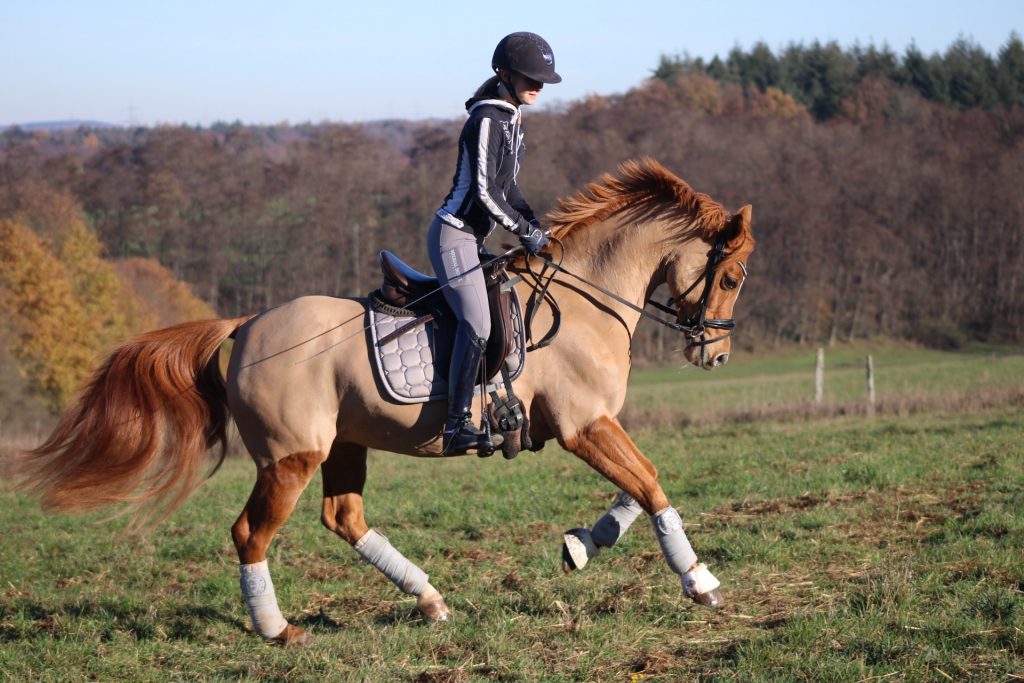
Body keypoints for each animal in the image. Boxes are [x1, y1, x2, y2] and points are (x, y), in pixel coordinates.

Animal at [16, 158, 753, 647]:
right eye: (733, 275)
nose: (715, 355)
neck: (584, 298)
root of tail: (247, 323)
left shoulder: (593, 424)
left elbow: (639, 485)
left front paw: (581, 545)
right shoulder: (584, 425)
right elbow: (650, 483)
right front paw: (699, 580)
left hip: (342, 445)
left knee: (344, 518)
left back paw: (428, 599)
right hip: (291, 457)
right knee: (251, 533)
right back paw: (278, 630)